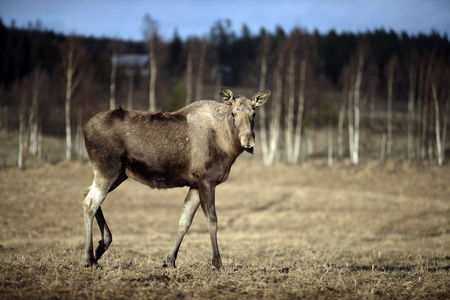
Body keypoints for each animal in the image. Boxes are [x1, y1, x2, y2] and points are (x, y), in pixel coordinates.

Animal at [81, 86, 270, 270]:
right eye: (233, 113)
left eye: (254, 114)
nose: (248, 141)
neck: (227, 146)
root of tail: (84, 128)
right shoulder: (207, 180)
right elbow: (212, 221)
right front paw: (217, 263)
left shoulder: (195, 184)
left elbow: (184, 221)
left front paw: (170, 260)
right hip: (107, 169)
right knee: (90, 204)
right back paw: (90, 258)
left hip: (119, 174)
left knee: (86, 193)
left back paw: (101, 246)